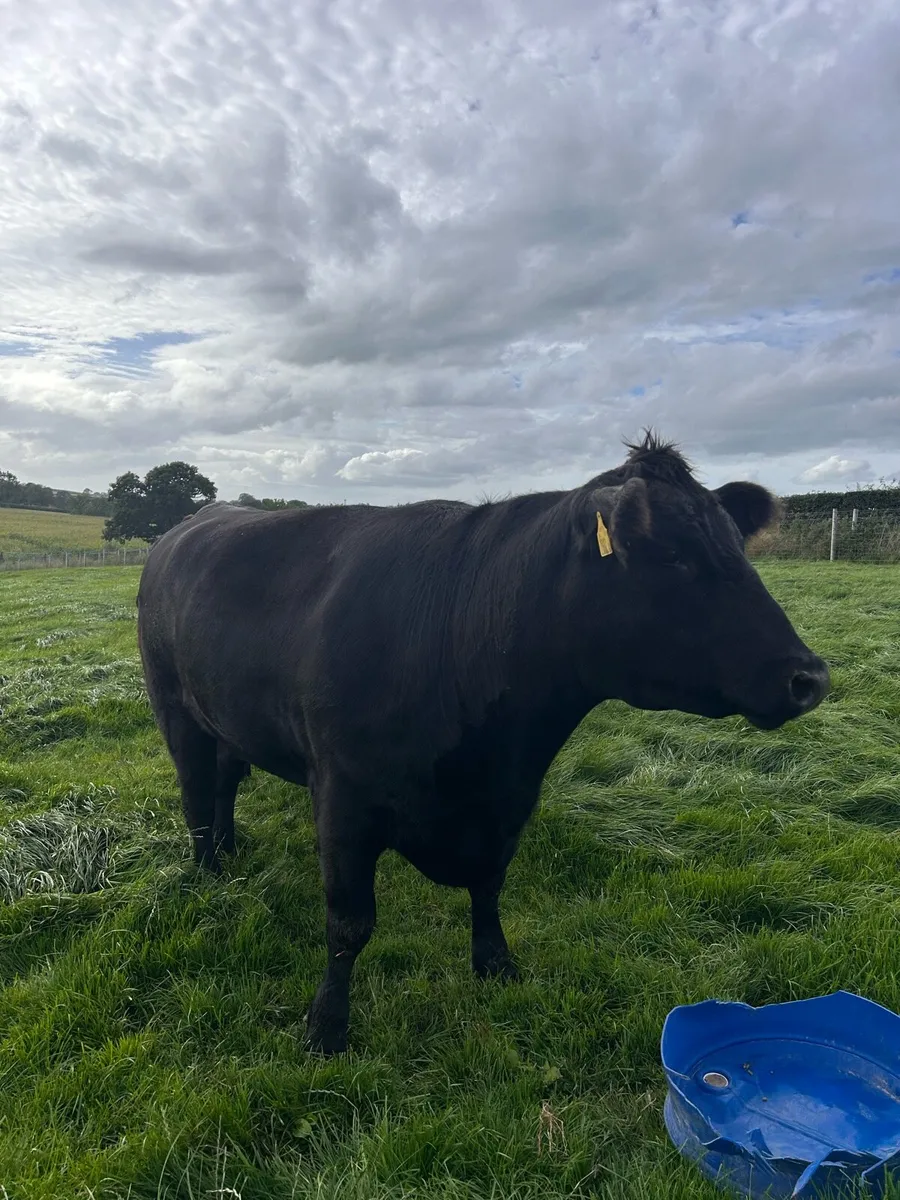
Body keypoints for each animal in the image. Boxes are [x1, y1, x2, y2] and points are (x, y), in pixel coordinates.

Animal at [136, 433, 829, 1055]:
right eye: (673, 554)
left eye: (736, 546)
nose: (810, 677)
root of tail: (193, 523)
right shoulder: (341, 797)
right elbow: (349, 923)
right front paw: (327, 1027)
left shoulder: (510, 798)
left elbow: (490, 885)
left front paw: (496, 967)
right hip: (174, 707)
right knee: (197, 792)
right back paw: (209, 871)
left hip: (226, 716)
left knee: (225, 782)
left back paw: (230, 849)